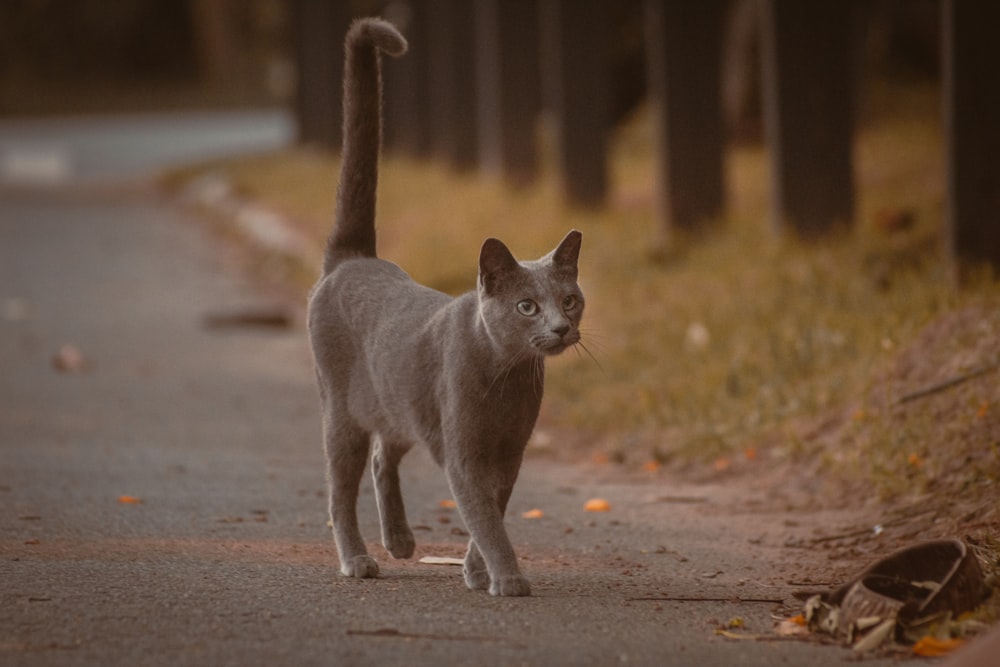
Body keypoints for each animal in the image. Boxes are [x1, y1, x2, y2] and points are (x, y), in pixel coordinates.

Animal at [306, 18, 584, 596]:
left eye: (569, 300)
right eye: (528, 306)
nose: (560, 326)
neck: (508, 375)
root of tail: (353, 258)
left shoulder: (511, 450)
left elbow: (493, 508)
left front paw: (477, 573)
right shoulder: (465, 451)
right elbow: (484, 514)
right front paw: (507, 577)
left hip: (398, 401)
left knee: (383, 456)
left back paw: (400, 541)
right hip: (341, 411)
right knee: (340, 488)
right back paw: (359, 559)